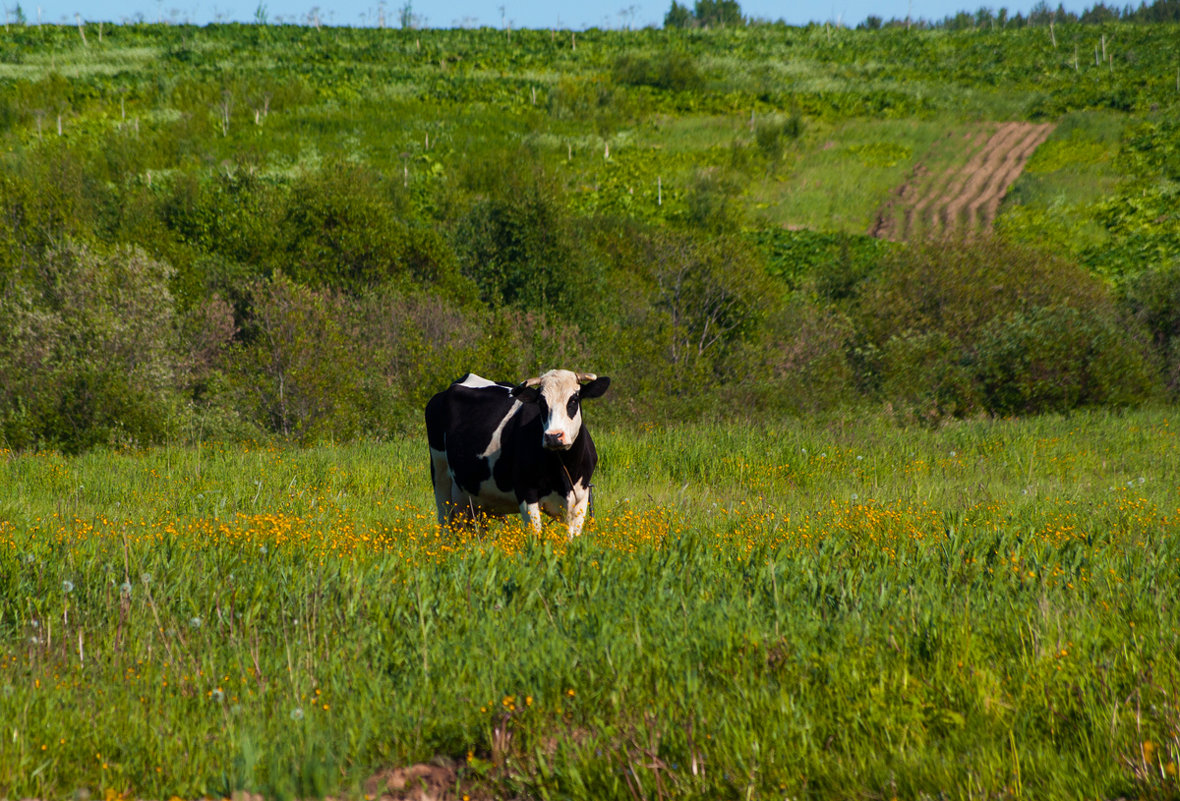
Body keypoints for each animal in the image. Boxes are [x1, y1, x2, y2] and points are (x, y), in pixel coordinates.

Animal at [424, 370, 608, 537]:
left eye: (574, 400)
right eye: (542, 403)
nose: (554, 436)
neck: (563, 468)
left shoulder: (581, 498)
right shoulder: (527, 492)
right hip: (440, 473)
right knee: (445, 522)